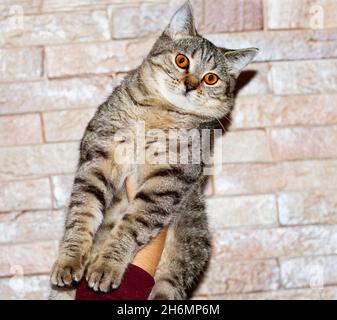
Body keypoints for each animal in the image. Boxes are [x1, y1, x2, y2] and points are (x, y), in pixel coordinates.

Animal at [50, 1, 256, 298]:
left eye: (211, 78)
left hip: (187, 244)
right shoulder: (99, 158)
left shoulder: (168, 179)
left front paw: (107, 265)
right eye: (182, 60)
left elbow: (132, 224)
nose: (190, 85)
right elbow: (82, 212)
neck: (156, 116)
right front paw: (70, 259)